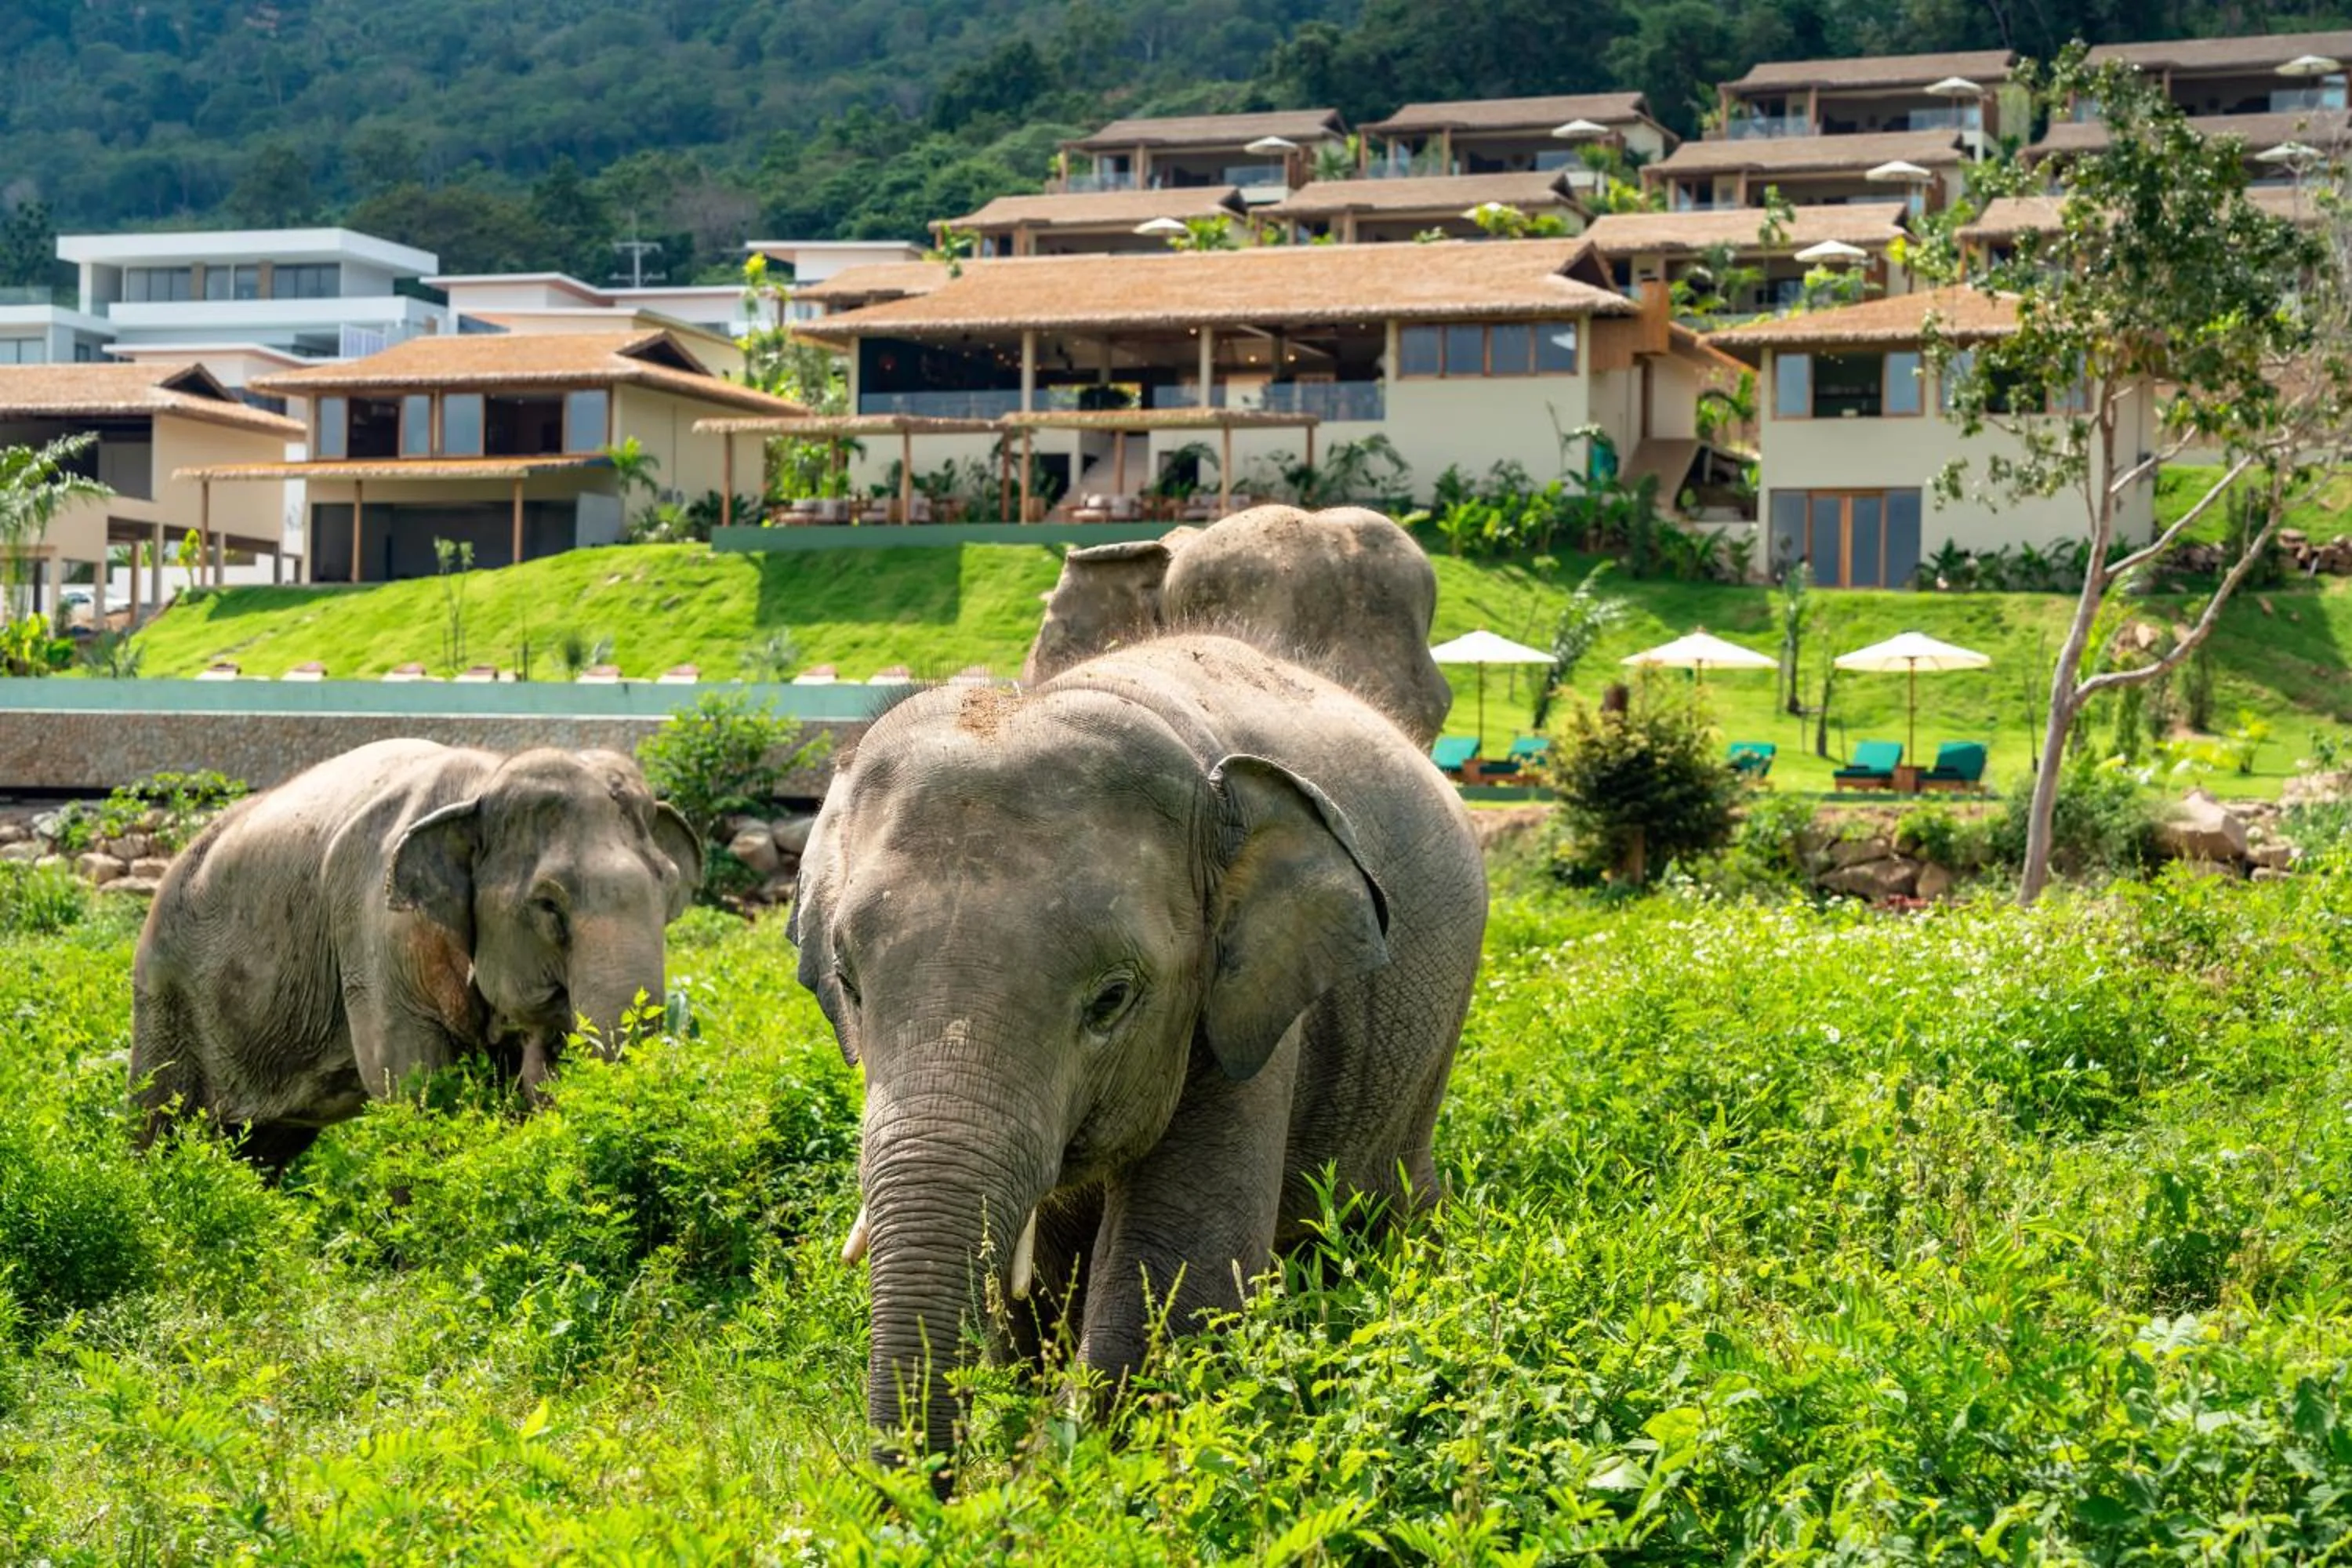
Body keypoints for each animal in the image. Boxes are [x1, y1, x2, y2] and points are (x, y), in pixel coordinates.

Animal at [131, 740, 702, 1169]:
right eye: (547, 904)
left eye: (668, 888)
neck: (483, 782)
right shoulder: (374, 930)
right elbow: (409, 1087)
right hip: (164, 993)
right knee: (158, 1124)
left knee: (260, 1149)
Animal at [792, 633, 1487, 1463]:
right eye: (847, 982)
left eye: (1113, 998)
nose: (944, 1485)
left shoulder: (1244, 1002)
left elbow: (1176, 1271)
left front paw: (1048, 1471)